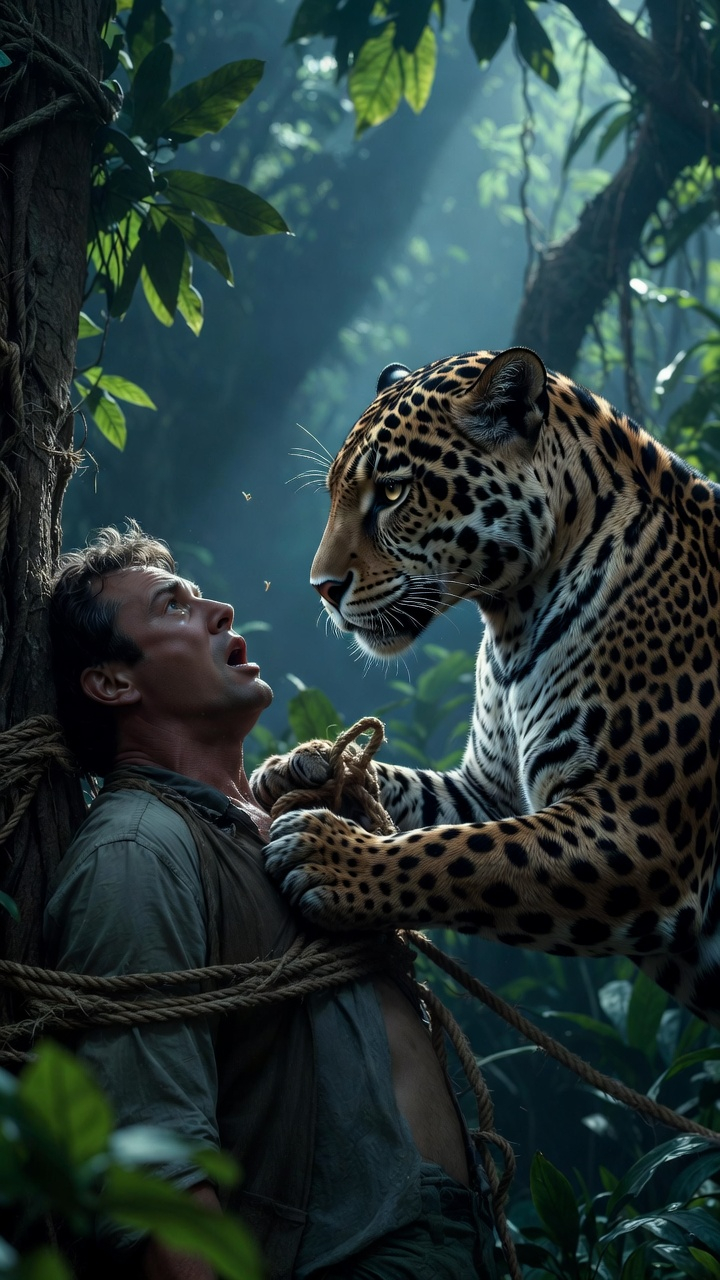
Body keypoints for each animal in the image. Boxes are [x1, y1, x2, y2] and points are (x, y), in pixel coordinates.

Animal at [253, 345, 720, 1027]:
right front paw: (296, 765)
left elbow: (462, 856)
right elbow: (434, 813)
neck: (512, 623)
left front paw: (332, 860)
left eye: (391, 492)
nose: (322, 588)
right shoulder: (488, 791)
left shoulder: (643, 827)